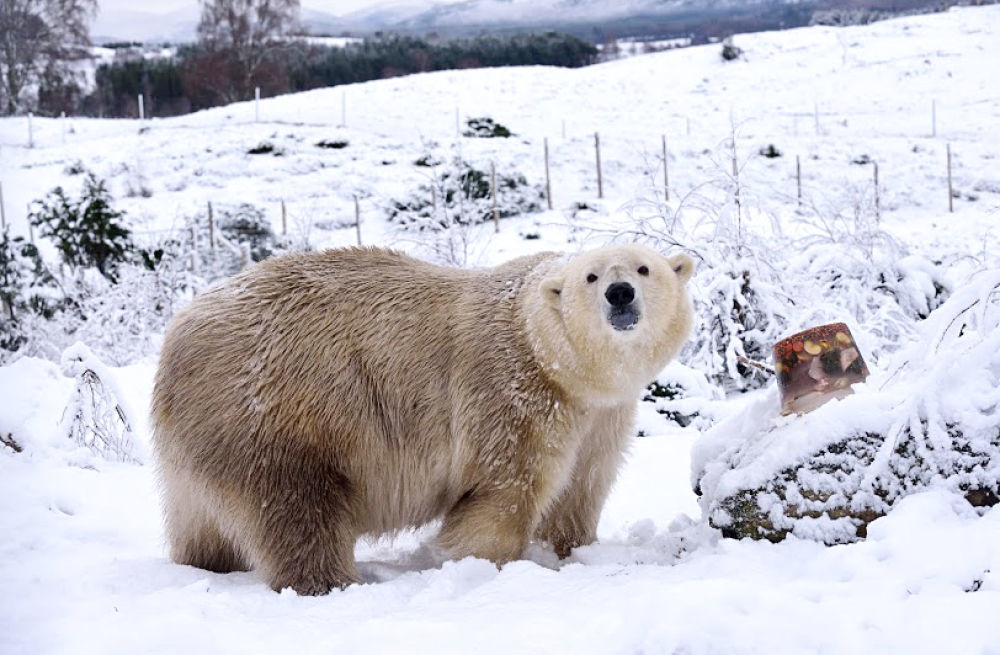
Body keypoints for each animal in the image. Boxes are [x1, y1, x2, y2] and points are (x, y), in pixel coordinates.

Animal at [150, 245, 696, 596]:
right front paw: (484, 564)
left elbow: (581, 486)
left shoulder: (602, 415)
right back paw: (331, 583)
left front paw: (571, 550)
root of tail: (175, 339)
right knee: (297, 508)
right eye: (591, 276)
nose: (620, 293)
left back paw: (208, 564)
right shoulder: (511, 393)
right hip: (281, 414)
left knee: (201, 522)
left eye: (645, 268)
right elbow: (503, 492)